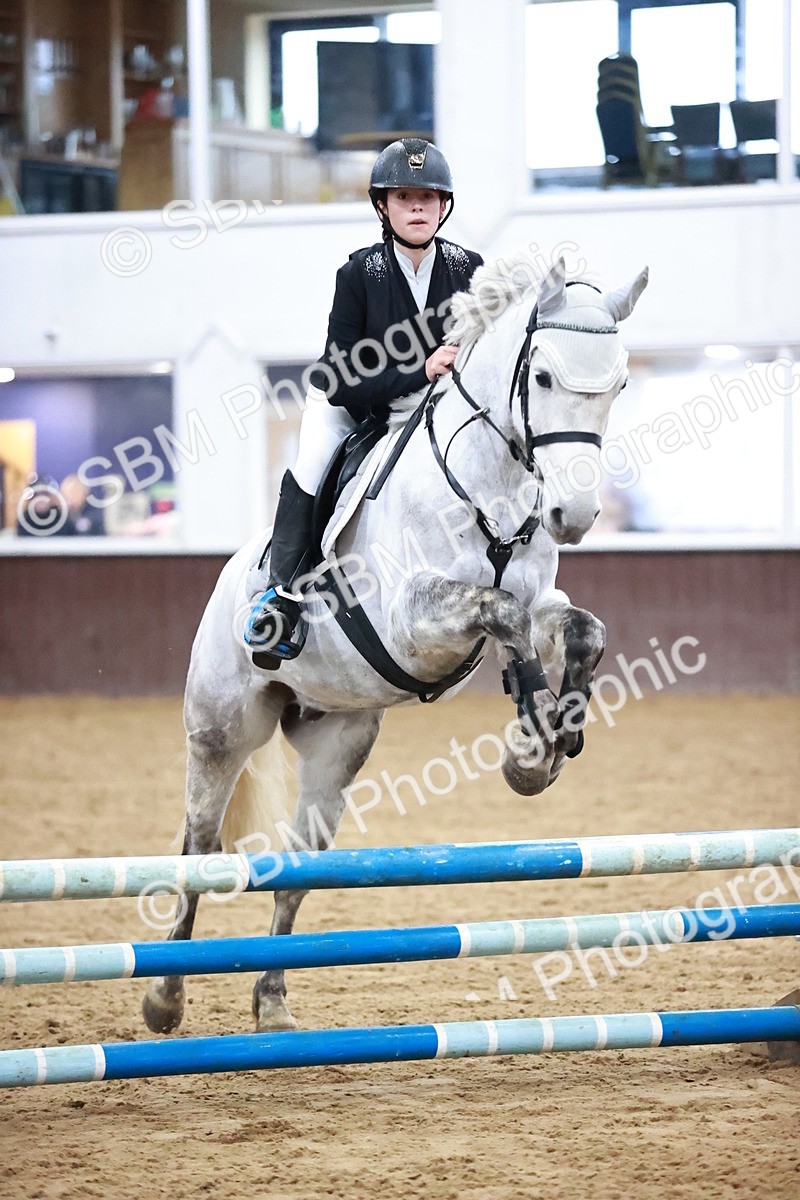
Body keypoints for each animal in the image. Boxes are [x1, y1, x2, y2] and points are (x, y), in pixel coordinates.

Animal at [142, 252, 648, 1035]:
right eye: (541, 378)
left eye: (618, 384)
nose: (576, 514)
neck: (488, 485)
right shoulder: (412, 621)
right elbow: (500, 612)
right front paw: (533, 735)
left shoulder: (540, 603)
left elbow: (579, 627)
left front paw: (542, 748)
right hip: (223, 729)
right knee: (199, 842)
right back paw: (165, 997)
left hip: (337, 741)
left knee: (298, 867)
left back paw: (273, 1003)